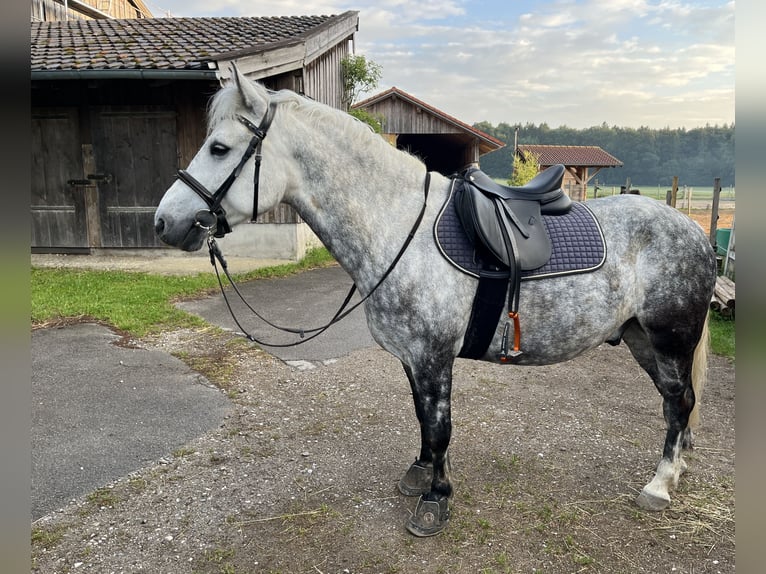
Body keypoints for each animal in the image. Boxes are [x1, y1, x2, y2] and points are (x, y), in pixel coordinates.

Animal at [154, 66, 717, 537]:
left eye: (220, 148)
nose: (164, 223)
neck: (399, 226)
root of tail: (692, 228)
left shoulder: (433, 356)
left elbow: (441, 425)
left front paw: (436, 499)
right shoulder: (413, 357)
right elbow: (423, 418)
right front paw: (419, 474)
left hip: (669, 340)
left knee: (680, 402)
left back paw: (659, 485)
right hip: (641, 339)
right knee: (676, 405)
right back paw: (678, 468)